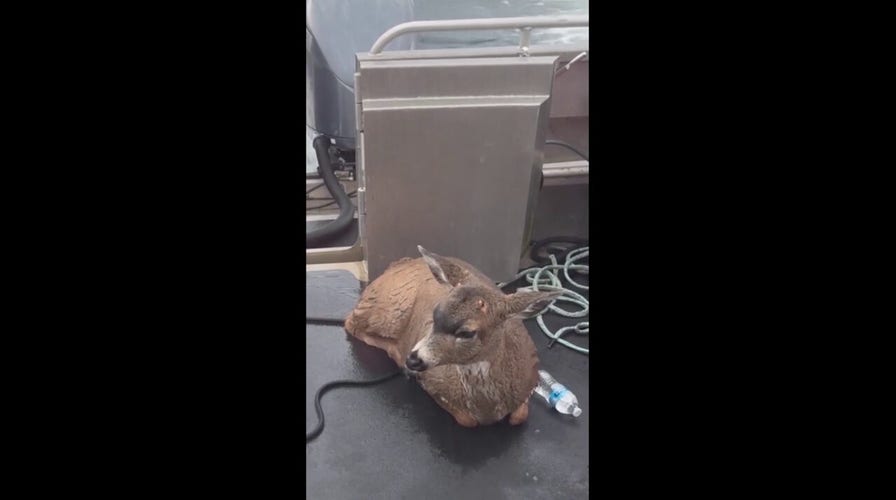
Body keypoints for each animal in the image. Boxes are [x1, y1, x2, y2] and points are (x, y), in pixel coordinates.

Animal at [344, 245, 561, 427]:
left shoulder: (530, 377)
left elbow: (519, 417)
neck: (488, 409)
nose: (412, 360)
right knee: (350, 322)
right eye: (435, 314)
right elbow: (467, 421)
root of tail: (399, 264)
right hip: (385, 310)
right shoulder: (434, 383)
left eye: (467, 332)